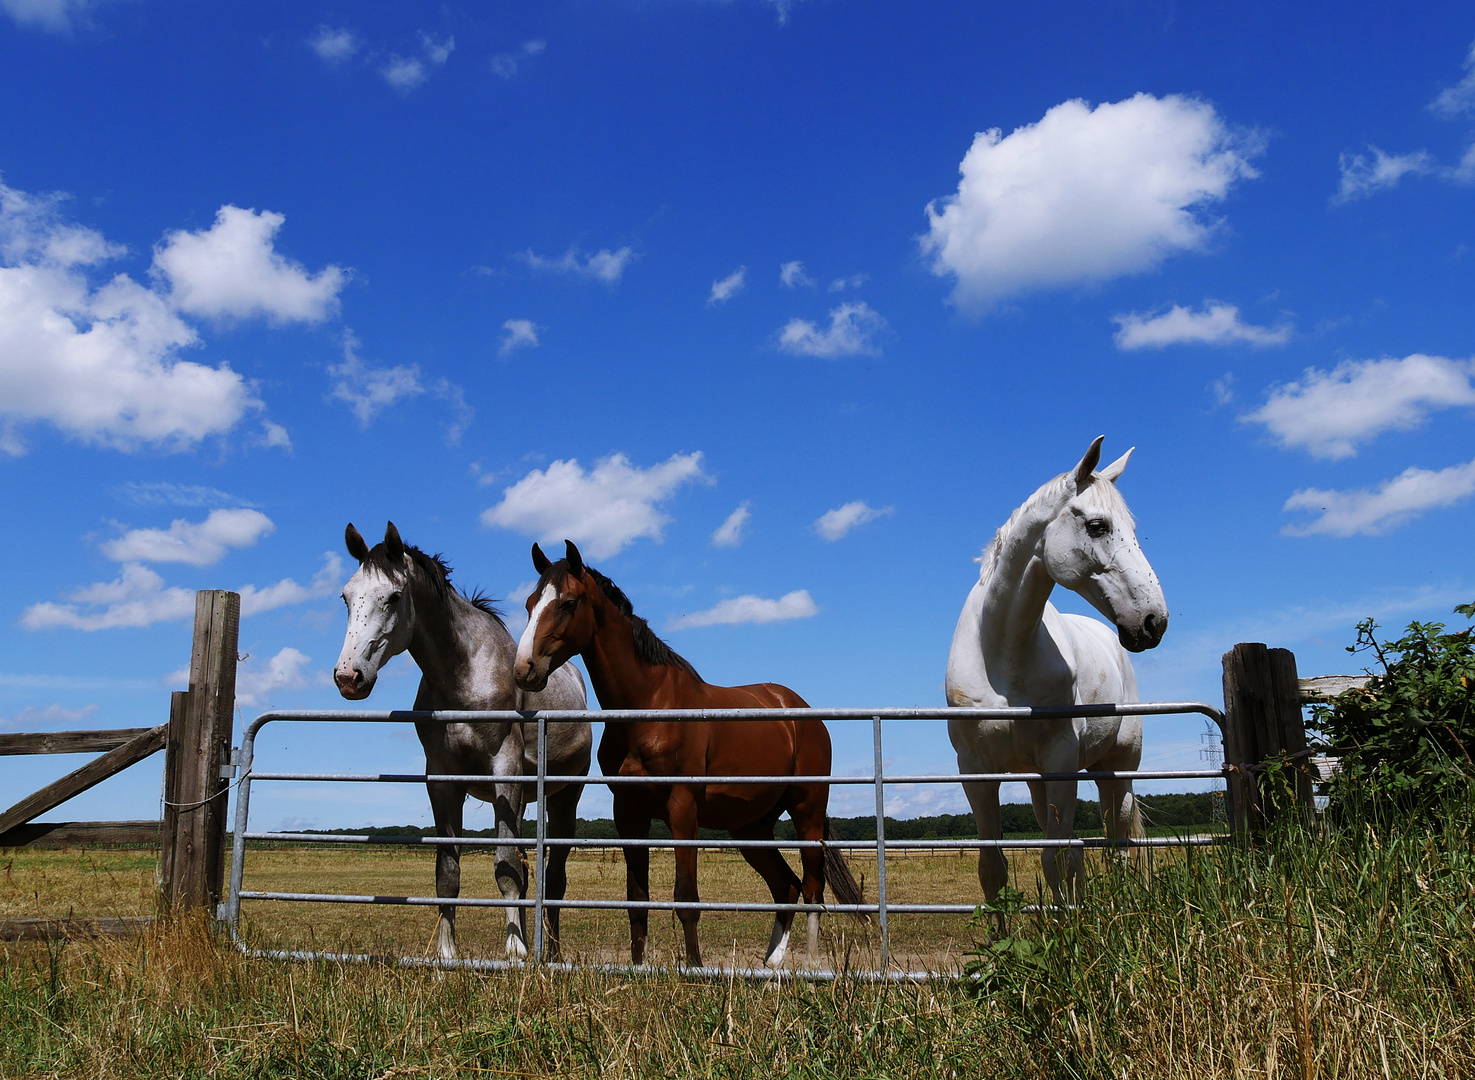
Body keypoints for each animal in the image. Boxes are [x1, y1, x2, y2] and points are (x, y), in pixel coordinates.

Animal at [331, 522, 590, 961]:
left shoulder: (505, 770)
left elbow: (505, 868)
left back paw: (549, 953)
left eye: (394, 597)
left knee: (553, 875)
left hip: (563, 796)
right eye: (347, 597)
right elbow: (449, 873)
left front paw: (516, 952)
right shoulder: (442, 781)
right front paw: (448, 954)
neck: (464, 673)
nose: (349, 677)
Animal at [510, 540, 861, 967]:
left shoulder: (682, 809)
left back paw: (808, 966)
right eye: (529, 603)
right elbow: (637, 901)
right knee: (786, 887)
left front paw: (694, 968)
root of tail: (802, 712)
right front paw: (638, 967)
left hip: (806, 811)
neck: (649, 707)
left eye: (568, 603)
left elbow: (686, 898)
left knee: (811, 886)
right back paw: (771, 965)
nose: (524, 669)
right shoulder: (629, 814)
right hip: (751, 828)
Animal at [949, 433, 1168, 908]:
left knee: (1118, 848)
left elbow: (1057, 862)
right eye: (1098, 526)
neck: (1002, 655)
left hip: (1116, 771)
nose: (1153, 621)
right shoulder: (977, 772)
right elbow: (993, 870)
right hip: (1038, 783)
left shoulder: (1061, 762)